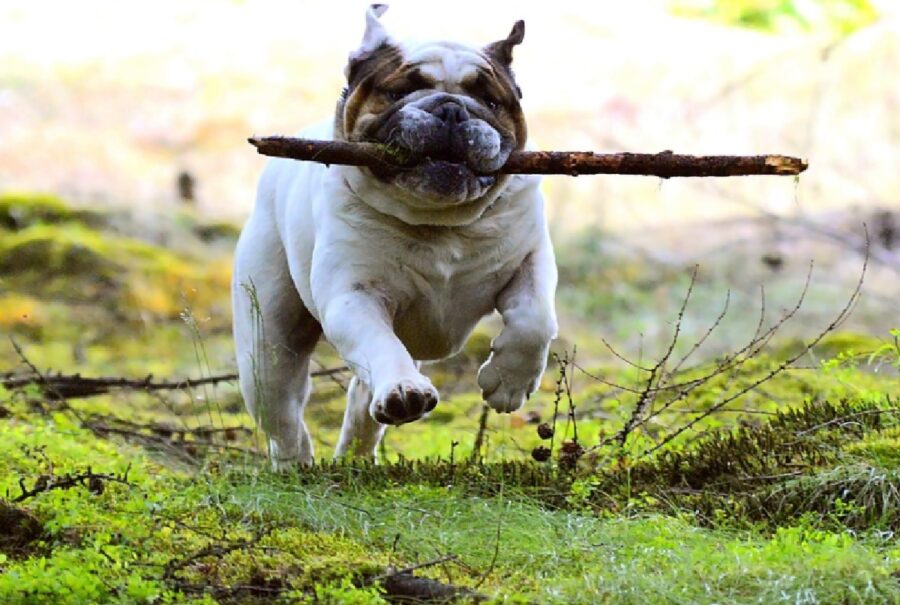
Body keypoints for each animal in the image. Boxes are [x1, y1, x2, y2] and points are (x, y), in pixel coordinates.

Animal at [232, 4, 556, 468]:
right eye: (399, 91)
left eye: (492, 101)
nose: (452, 110)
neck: (439, 223)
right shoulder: (353, 297)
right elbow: (378, 343)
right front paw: (406, 391)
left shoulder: (531, 259)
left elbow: (535, 319)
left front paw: (508, 382)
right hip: (266, 342)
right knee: (282, 410)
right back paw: (298, 463)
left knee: (361, 396)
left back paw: (355, 455)